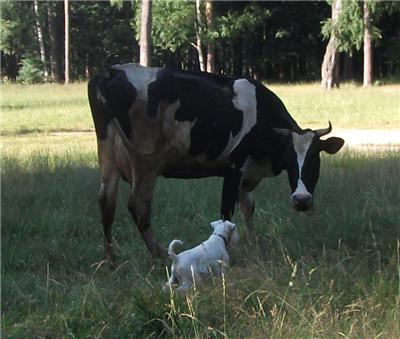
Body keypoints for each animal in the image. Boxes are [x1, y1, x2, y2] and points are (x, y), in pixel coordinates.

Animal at [87, 63, 344, 260]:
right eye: (291, 159)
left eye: (314, 160)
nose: (301, 200)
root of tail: (109, 72)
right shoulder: (234, 167)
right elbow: (226, 212)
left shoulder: (246, 174)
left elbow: (248, 208)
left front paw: (253, 244)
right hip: (146, 161)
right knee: (138, 205)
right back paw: (159, 255)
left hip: (107, 154)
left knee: (106, 202)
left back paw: (111, 259)